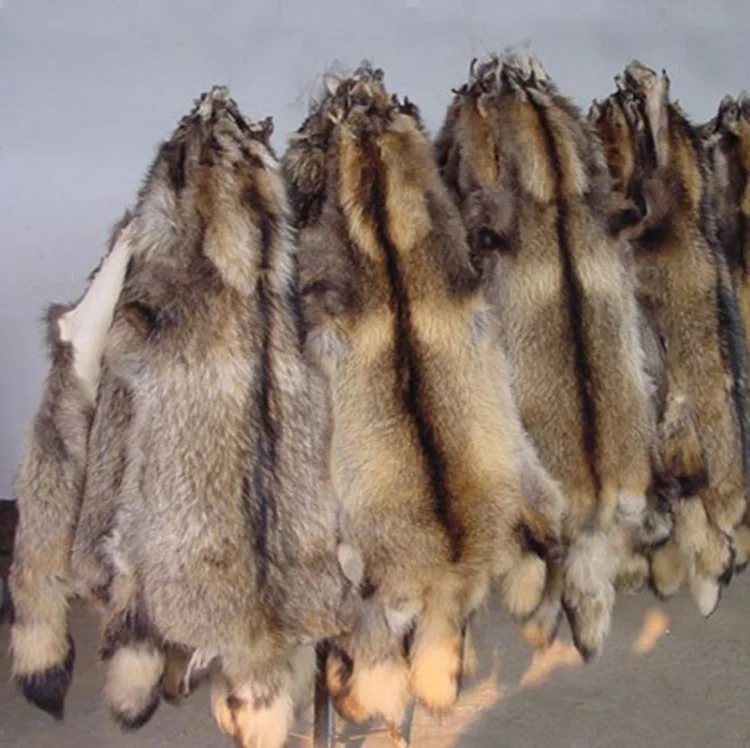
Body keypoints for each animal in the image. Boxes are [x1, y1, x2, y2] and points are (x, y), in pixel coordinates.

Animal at [283, 63, 566, 730]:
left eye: (323, 113)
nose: (356, 75)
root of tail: (449, 565)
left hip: (365, 581)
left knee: (374, 653)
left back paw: (352, 695)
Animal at [436, 48, 669, 660]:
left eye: (490, 87)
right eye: (531, 77)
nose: (495, 61)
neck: (557, 186)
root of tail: (598, 494)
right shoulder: (615, 208)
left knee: (552, 562)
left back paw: (543, 615)